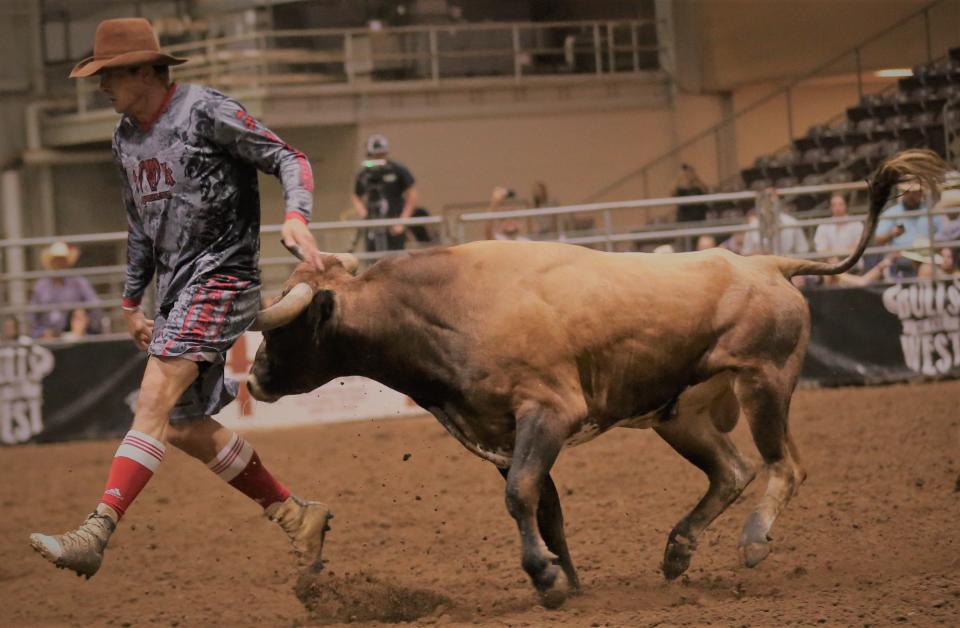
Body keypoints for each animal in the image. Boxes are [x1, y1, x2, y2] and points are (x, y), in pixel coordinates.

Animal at [248, 150, 944, 604]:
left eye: (282, 331)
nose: (251, 381)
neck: (448, 307)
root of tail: (766, 263)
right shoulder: (502, 435)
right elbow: (543, 504)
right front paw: (568, 578)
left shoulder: (549, 412)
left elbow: (522, 496)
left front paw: (546, 578)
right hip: (680, 413)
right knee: (732, 470)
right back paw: (678, 549)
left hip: (765, 383)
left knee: (783, 466)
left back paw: (753, 541)